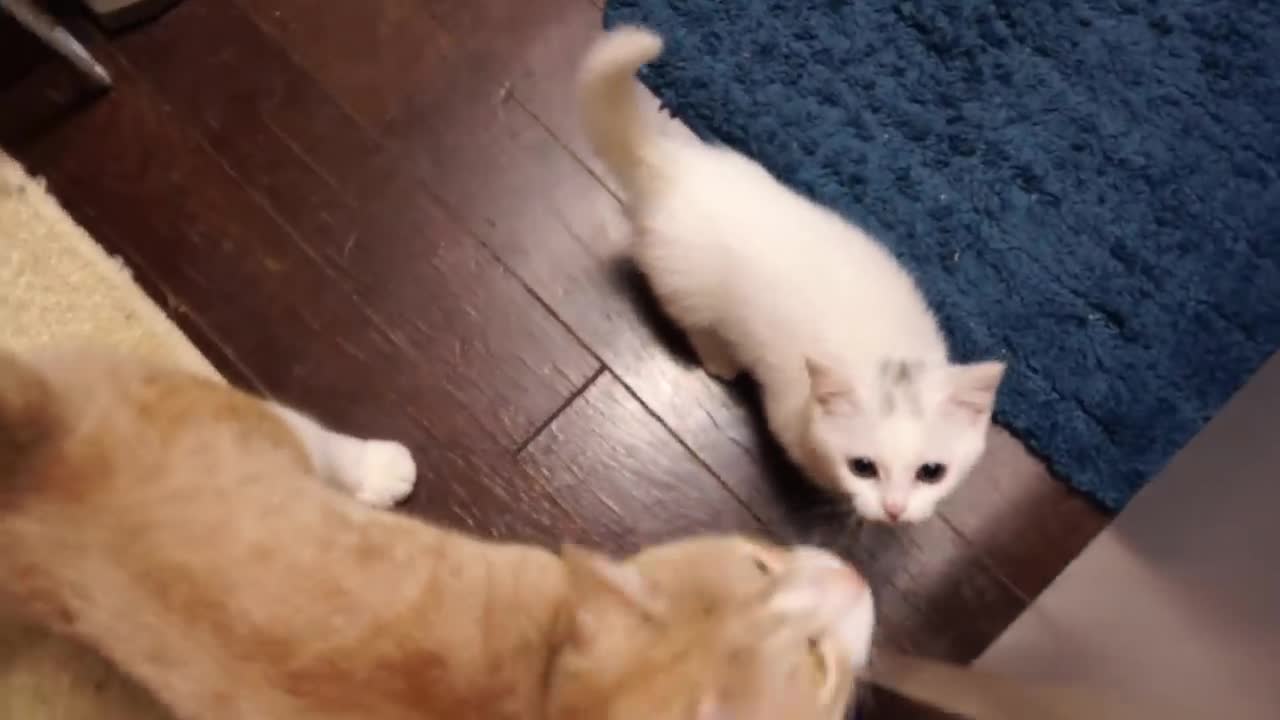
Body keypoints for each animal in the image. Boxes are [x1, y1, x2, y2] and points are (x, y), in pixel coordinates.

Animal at [0, 348, 870, 717]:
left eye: (761, 565)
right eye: (819, 664)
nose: (856, 579)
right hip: (264, 430)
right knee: (325, 445)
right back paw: (382, 468)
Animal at [576, 28, 1003, 520]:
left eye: (931, 472)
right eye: (862, 467)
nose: (894, 510)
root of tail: (673, 166)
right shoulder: (787, 414)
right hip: (687, 287)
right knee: (692, 322)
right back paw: (721, 359)